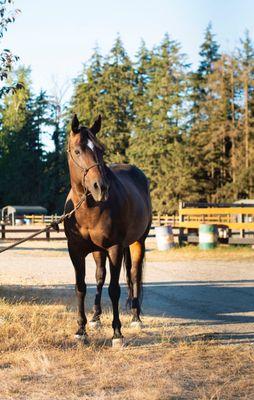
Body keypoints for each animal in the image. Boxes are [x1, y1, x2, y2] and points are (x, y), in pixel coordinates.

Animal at [64, 114, 151, 346]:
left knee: (134, 275)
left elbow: (114, 289)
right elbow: (81, 287)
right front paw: (81, 330)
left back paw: (136, 318)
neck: (88, 208)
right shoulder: (75, 251)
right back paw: (95, 317)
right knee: (100, 276)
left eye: (101, 150)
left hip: (138, 242)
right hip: (98, 250)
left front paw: (117, 333)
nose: (100, 187)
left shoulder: (114, 247)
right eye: (77, 151)